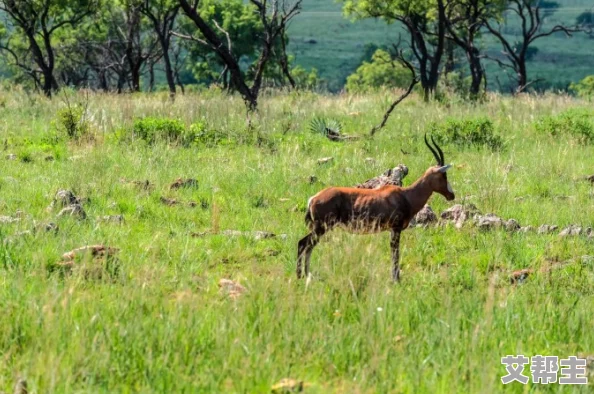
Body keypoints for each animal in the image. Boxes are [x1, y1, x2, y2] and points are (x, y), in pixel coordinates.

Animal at [296, 134, 454, 282]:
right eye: (444, 175)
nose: (451, 195)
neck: (405, 195)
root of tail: (313, 198)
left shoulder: (391, 230)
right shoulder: (396, 229)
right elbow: (395, 253)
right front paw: (396, 279)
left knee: (307, 246)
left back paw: (306, 275)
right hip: (321, 228)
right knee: (303, 244)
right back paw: (301, 276)